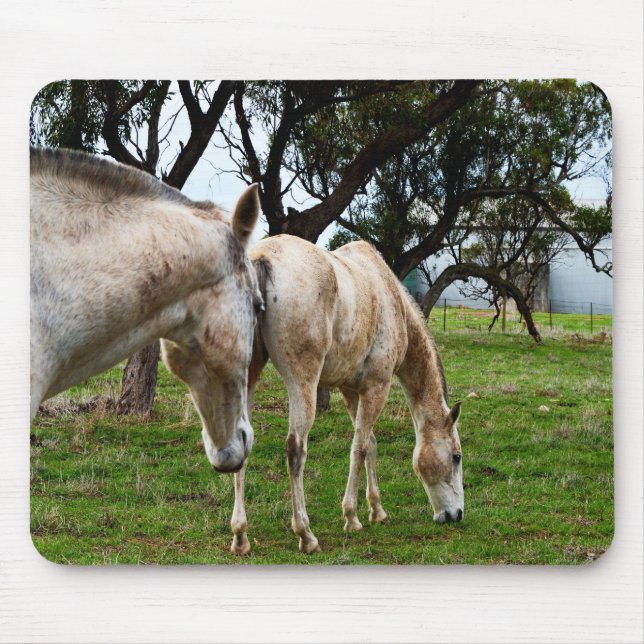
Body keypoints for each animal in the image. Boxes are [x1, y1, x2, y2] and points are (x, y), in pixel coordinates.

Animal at [229, 234, 463, 555]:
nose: (456, 515)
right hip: (303, 381)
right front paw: (351, 517)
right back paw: (306, 534)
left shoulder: (352, 390)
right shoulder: (376, 386)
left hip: (248, 377)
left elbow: (370, 443)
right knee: (296, 449)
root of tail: (261, 257)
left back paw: (240, 536)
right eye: (456, 457)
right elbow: (360, 448)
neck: (392, 301)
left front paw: (377, 510)